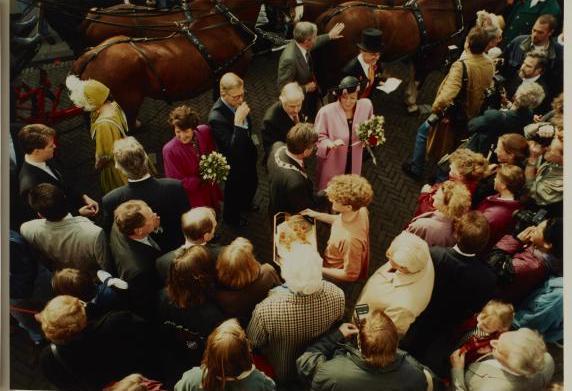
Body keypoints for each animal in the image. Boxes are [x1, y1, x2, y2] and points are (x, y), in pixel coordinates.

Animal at [312, 0, 504, 97]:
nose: (500, 32)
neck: (444, 10)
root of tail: (331, 14)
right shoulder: (435, 53)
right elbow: (420, 77)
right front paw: (412, 101)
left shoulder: (418, 51)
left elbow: (414, 72)